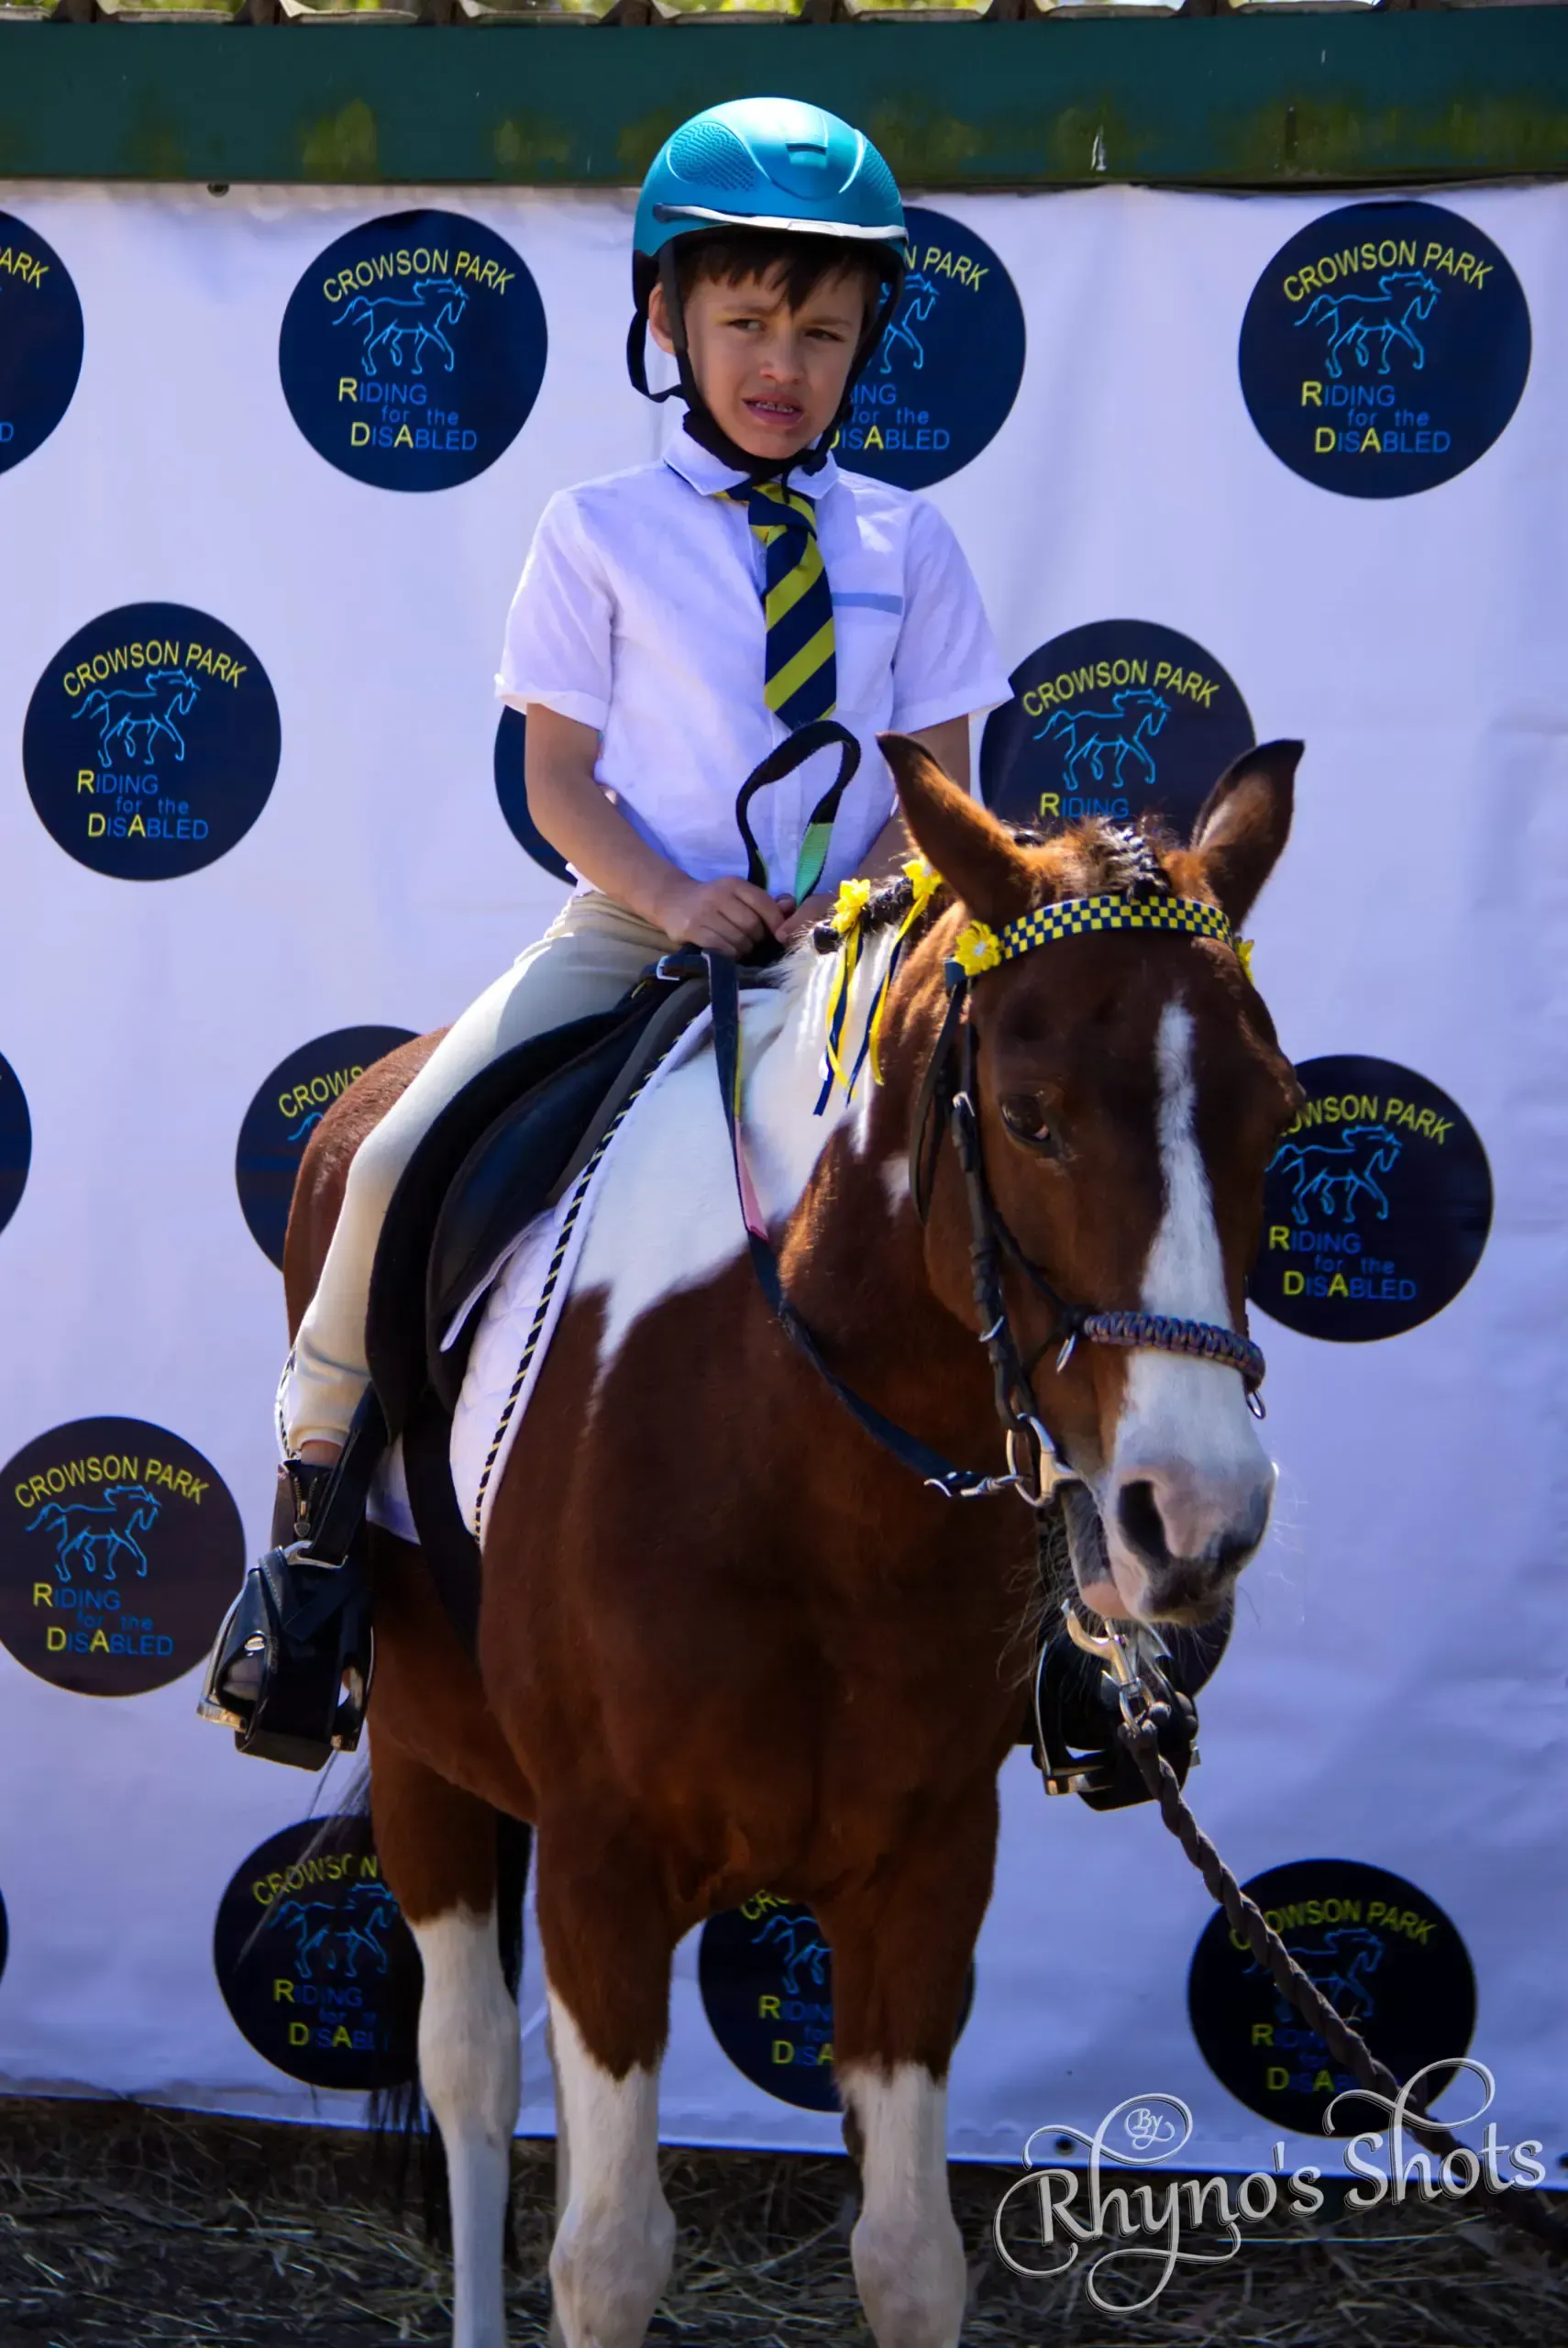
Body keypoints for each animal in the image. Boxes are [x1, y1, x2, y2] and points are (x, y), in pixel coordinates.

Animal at [283, 733, 1300, 2348]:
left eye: (1275, 1116)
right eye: (1030, 1116)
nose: (1193, 1514)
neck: (797, 1470)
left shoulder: (925, 1864)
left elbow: (907, 2255)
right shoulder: (601, 1864)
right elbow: (606, 2256)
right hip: (423, 1765)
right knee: (472, 2081)